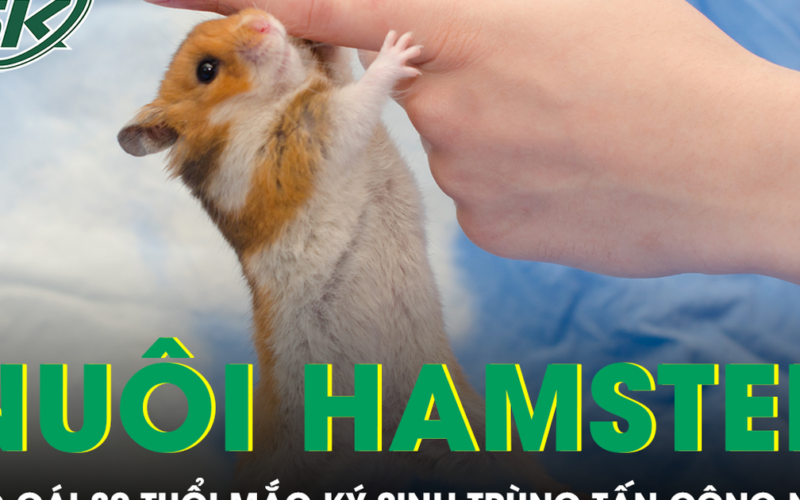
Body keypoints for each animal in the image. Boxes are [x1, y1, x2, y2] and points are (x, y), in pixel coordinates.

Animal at [119, 8, 562, 493]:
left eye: (238, 16)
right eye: (205, 70)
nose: (262, 22)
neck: (266, 100)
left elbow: (339, 67)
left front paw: (322, 42)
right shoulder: (307, 137)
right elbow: (355, 99)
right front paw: (398, 49)